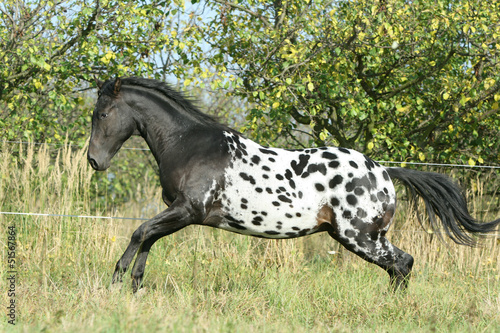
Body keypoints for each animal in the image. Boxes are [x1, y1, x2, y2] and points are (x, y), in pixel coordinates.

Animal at [88, 76, 498, 292]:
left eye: (102, 114)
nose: (95, 161)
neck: (189, 144)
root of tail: (384, 171)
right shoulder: (179, 212)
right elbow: (148, 239)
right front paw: (135, 284)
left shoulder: (188, 210)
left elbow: (140, 233)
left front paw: (117, 280)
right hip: (361, 236)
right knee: (401, 264)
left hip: (360, 236)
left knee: (402, 263)